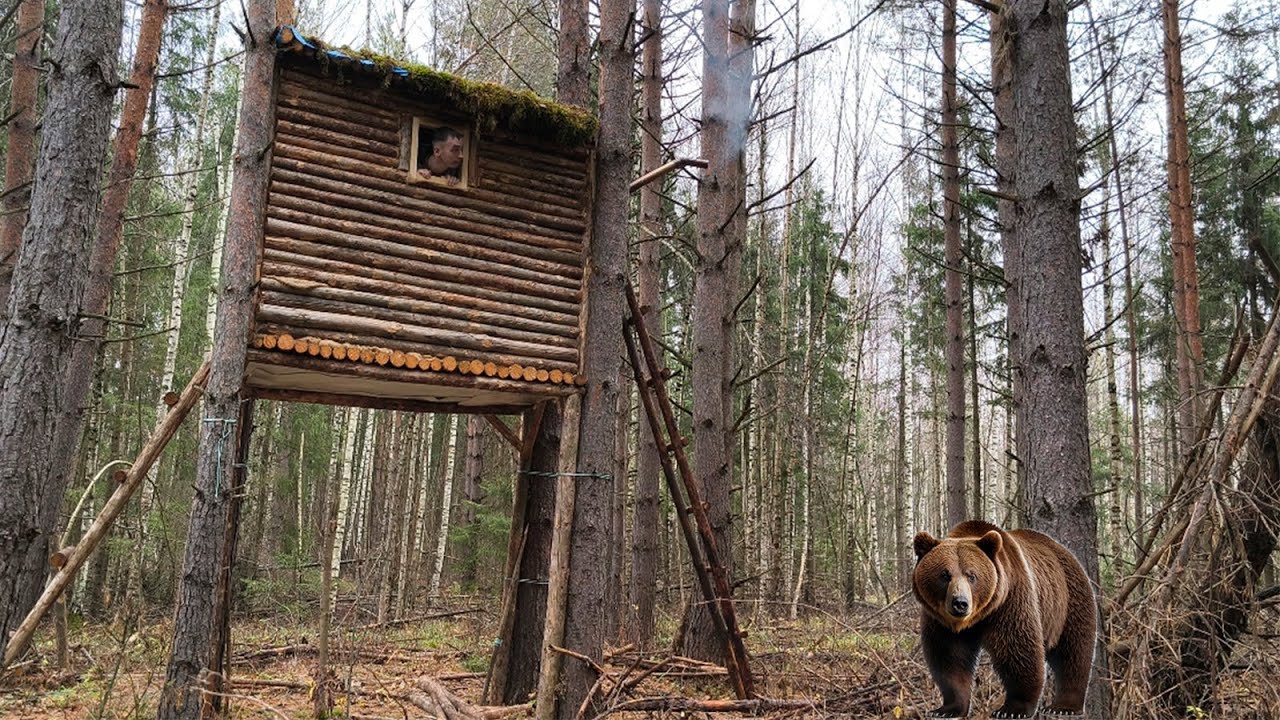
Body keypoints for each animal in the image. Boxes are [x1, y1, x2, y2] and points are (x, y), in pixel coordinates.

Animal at [912, 520, 1096, 719]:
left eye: (972, 575)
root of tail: (1066, 551)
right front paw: (947, 709)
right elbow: (949, 657)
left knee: (1074, 651)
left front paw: (1012, 709)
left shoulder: (1010, 601)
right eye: (945, 575)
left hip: (1068, 602)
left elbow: (1018, 649)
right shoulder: (940, 621)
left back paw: (1063, 706)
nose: (960, 603)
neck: (976, 619)